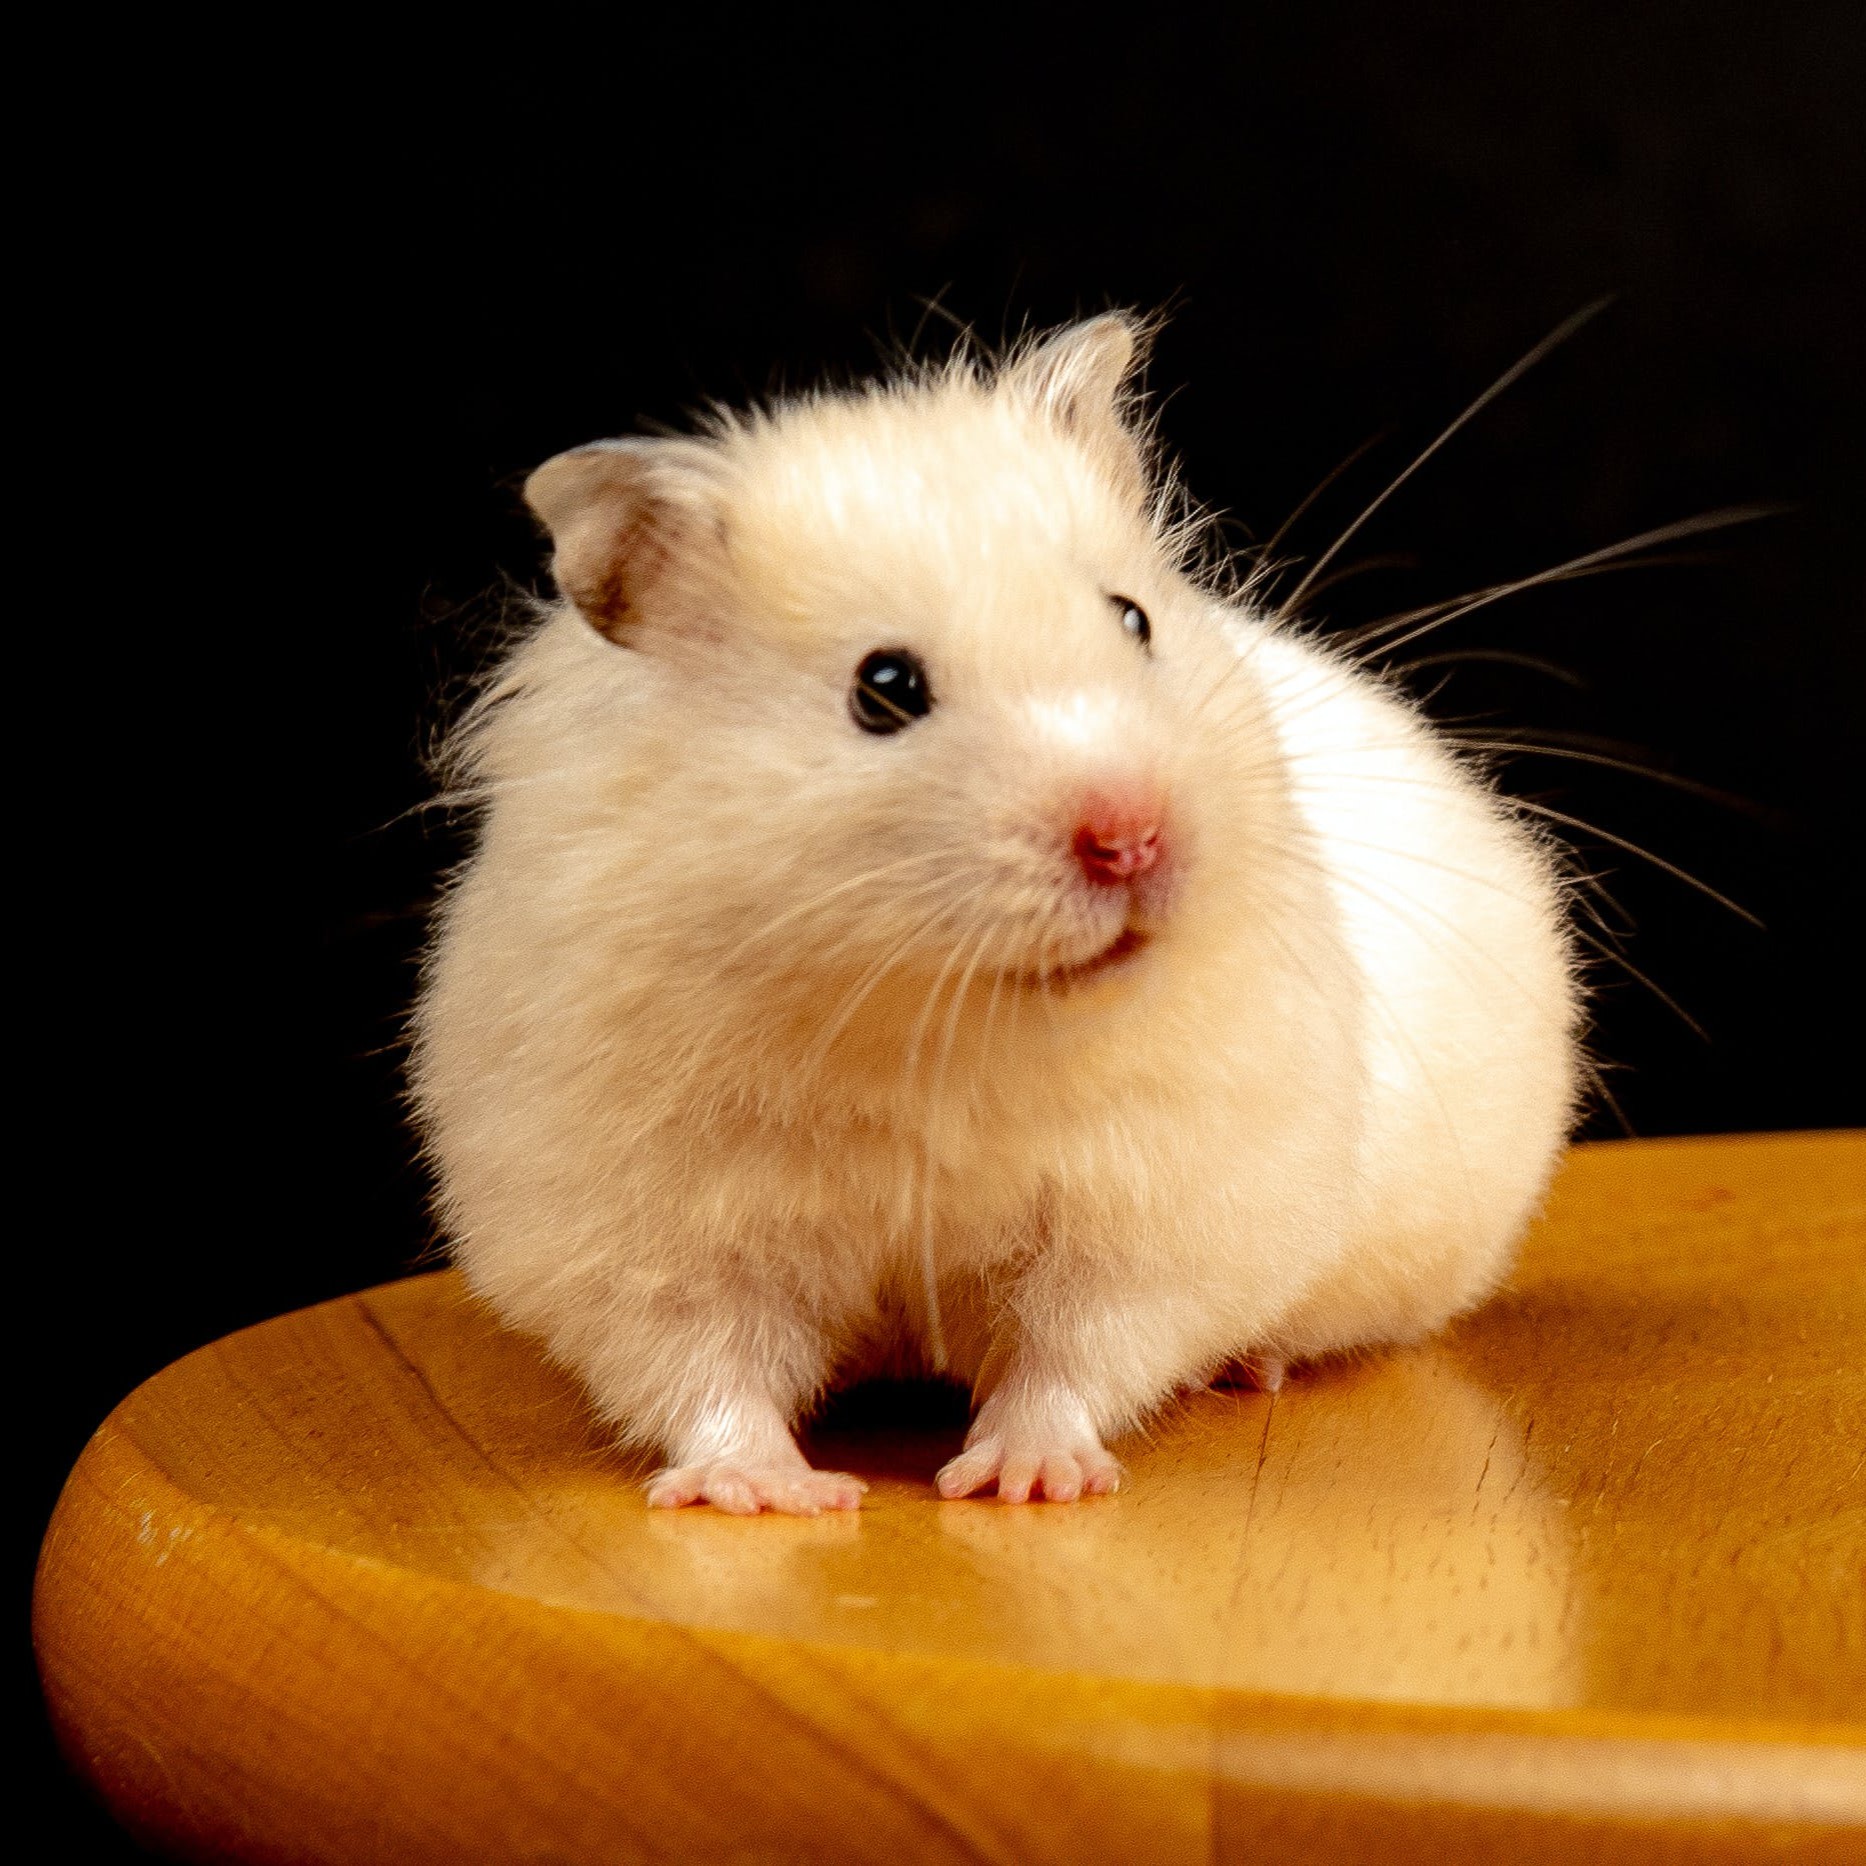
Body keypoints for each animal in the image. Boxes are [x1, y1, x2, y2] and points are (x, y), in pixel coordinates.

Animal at [409, 315, 1581, 1512]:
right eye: (884, 689)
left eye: (1133, 619)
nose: (1133, 837)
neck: (929, 1017)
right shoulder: (644, 1228)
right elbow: (705, 1368)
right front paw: (774, 1494)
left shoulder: (1153, 1209)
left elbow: (1074, 1352)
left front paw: (1024, 1479)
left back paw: (1251, 1366)